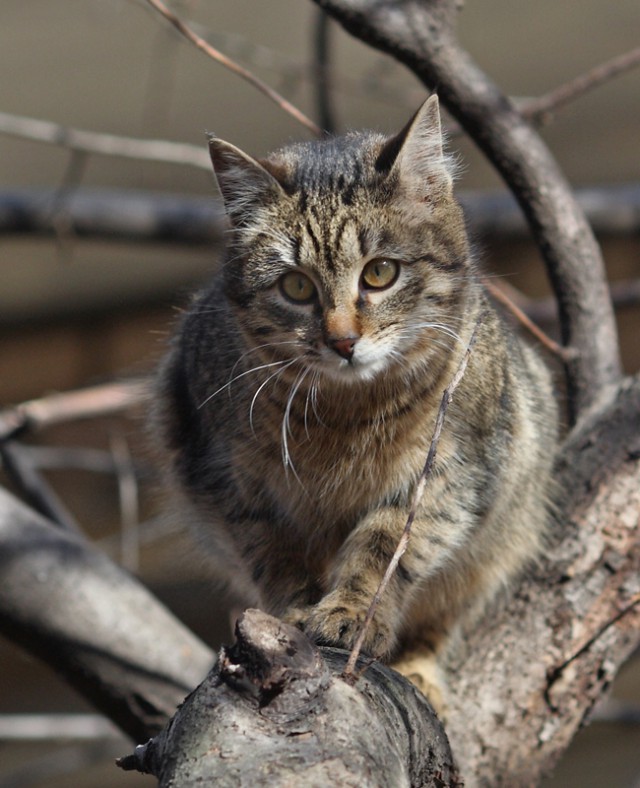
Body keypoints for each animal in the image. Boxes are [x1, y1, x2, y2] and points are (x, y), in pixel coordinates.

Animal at [158, 95, 556, 704]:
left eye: (380, 273)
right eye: (296, 286)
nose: (343, 341)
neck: (345, 417)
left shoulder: (449, 475)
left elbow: (385, 547)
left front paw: (350, 611)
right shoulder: (226, 483)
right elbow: (275, 553)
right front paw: (297, 611)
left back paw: (419, 670)